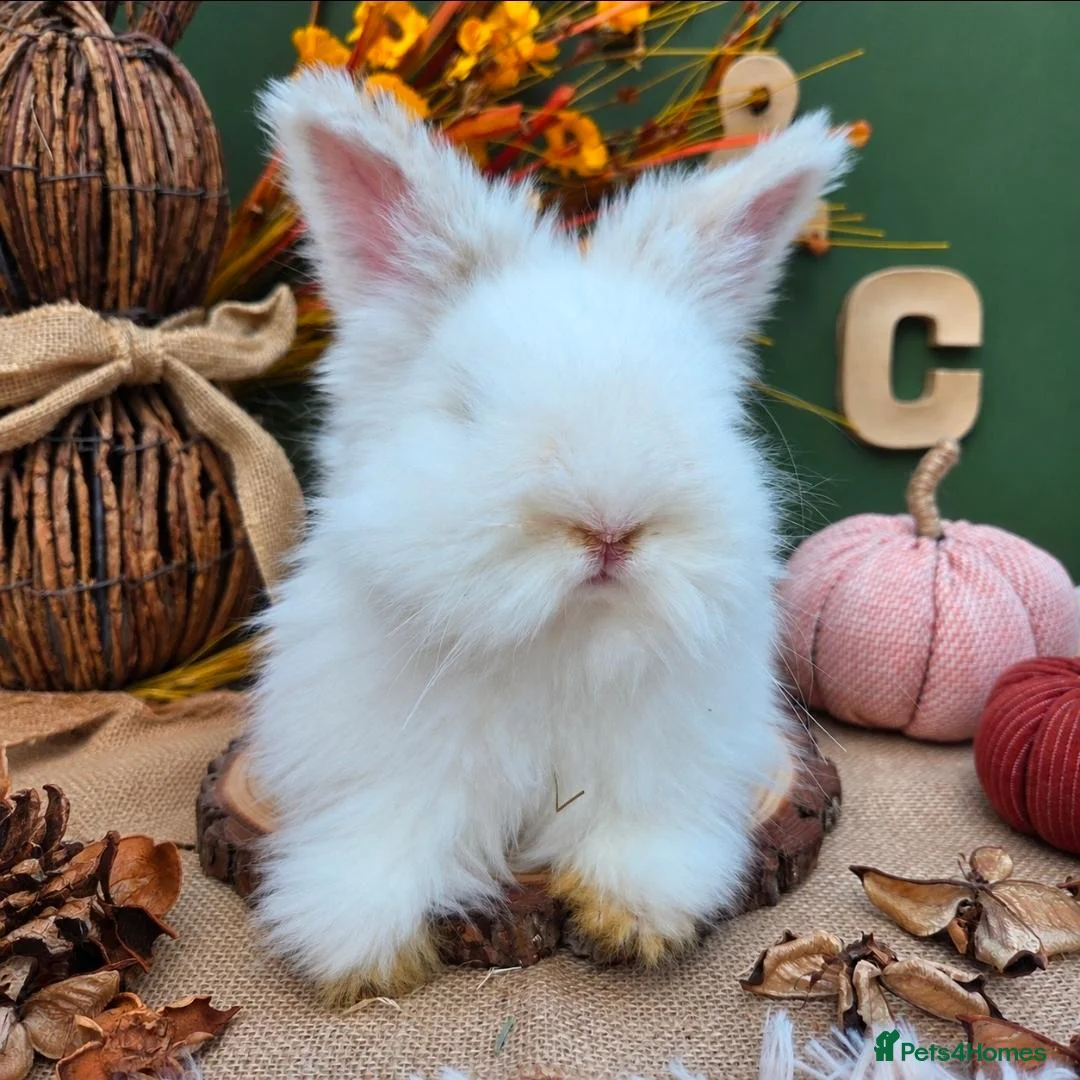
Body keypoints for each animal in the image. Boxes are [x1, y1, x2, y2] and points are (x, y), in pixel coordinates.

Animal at [247, 66, 852, 1006]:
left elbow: (641, 833)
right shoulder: (385, 763)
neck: (560, 644)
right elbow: (387, 836)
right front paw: (356, 952)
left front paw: (634, 918)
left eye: (703, 409)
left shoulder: (665, 762)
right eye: (465, 408)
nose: (610, 529)